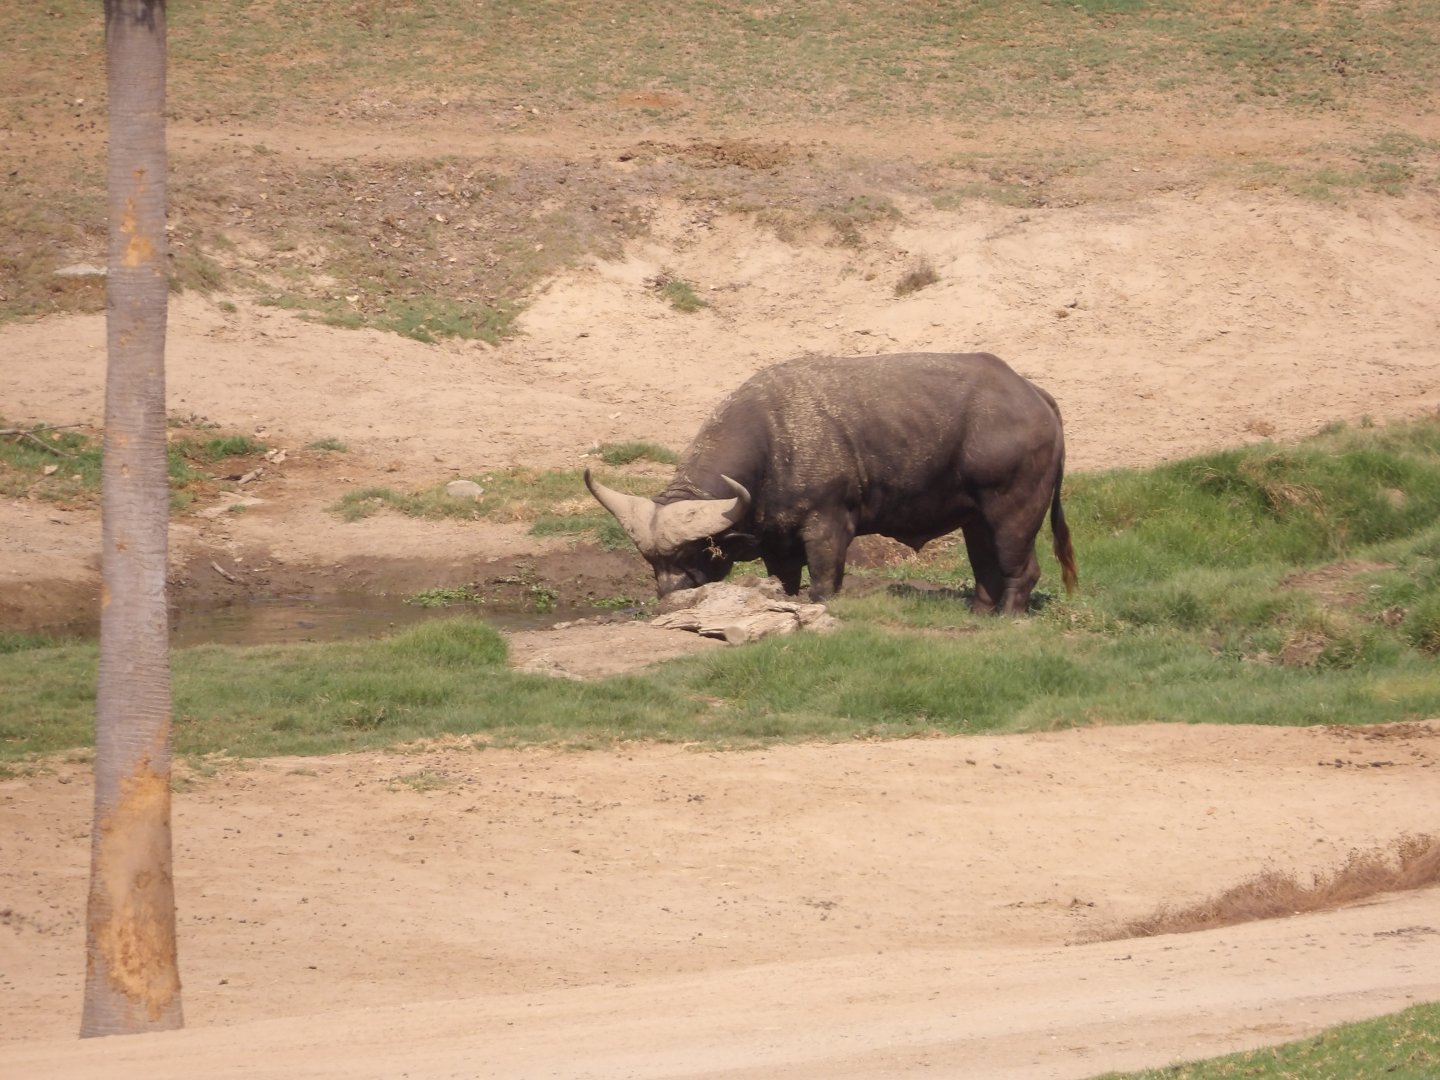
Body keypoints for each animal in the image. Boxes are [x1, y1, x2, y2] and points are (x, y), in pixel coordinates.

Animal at [585, 352, 1076, 613]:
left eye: (693, 552)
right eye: (650, 561)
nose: (670, 598)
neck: (775, 440)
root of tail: (1032, 394)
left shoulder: (828, 527)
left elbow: (823, 583)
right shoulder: (777, 543)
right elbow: (785, 582)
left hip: (1013, 512)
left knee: (1021, 569)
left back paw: (1008, 616)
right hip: (976, 519)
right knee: (985, 568)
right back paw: (978, 612)